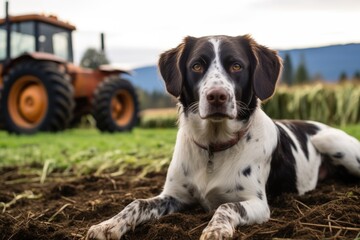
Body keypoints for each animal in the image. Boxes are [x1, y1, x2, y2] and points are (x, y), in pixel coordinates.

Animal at [86, 34, 360, 239]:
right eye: (196, 66)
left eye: (236, 66)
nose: (217, 96)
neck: (213, 146)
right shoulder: (174, 196)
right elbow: (137, 202)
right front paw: (109, 224)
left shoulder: (258, 204)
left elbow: (226, 205)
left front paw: (215, 229)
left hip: (330, 141)